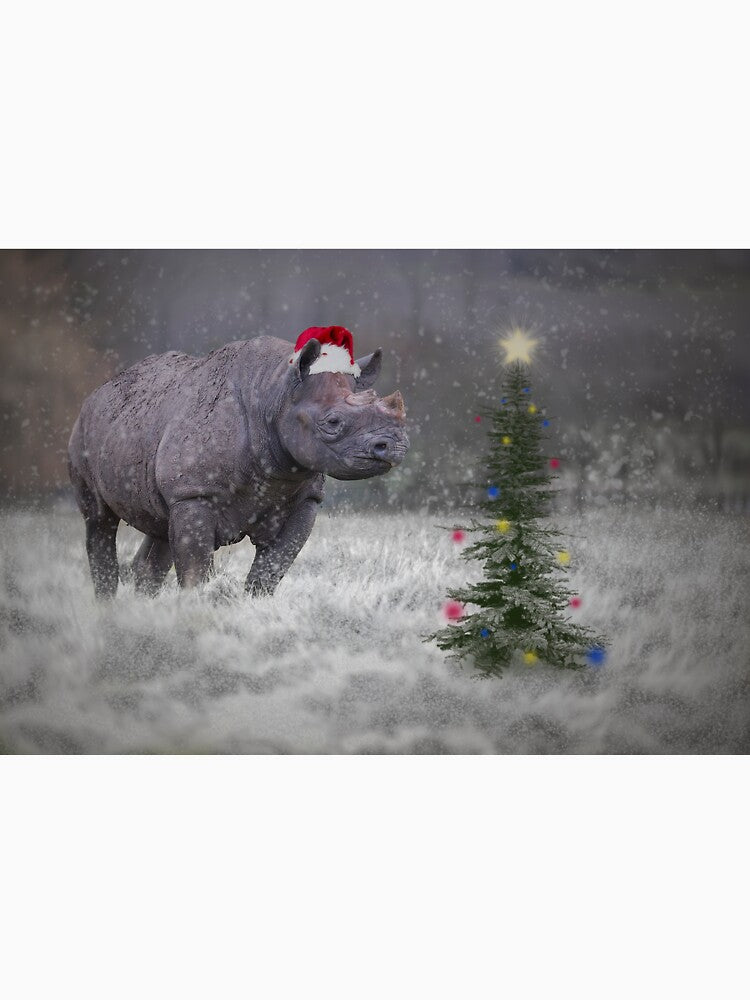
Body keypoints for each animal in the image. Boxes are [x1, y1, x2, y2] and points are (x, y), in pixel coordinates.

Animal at [68, 329, 409, 598]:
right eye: (333, 422)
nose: (394, 445)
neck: (275, 394)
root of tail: (96, 393)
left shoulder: (304, 498)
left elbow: (272, 568)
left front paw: (254, 608)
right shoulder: (194, 493)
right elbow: (196, 569)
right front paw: (197, 607)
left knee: (159, 527)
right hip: (83, 431)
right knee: (99, 520)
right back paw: (108, 607)